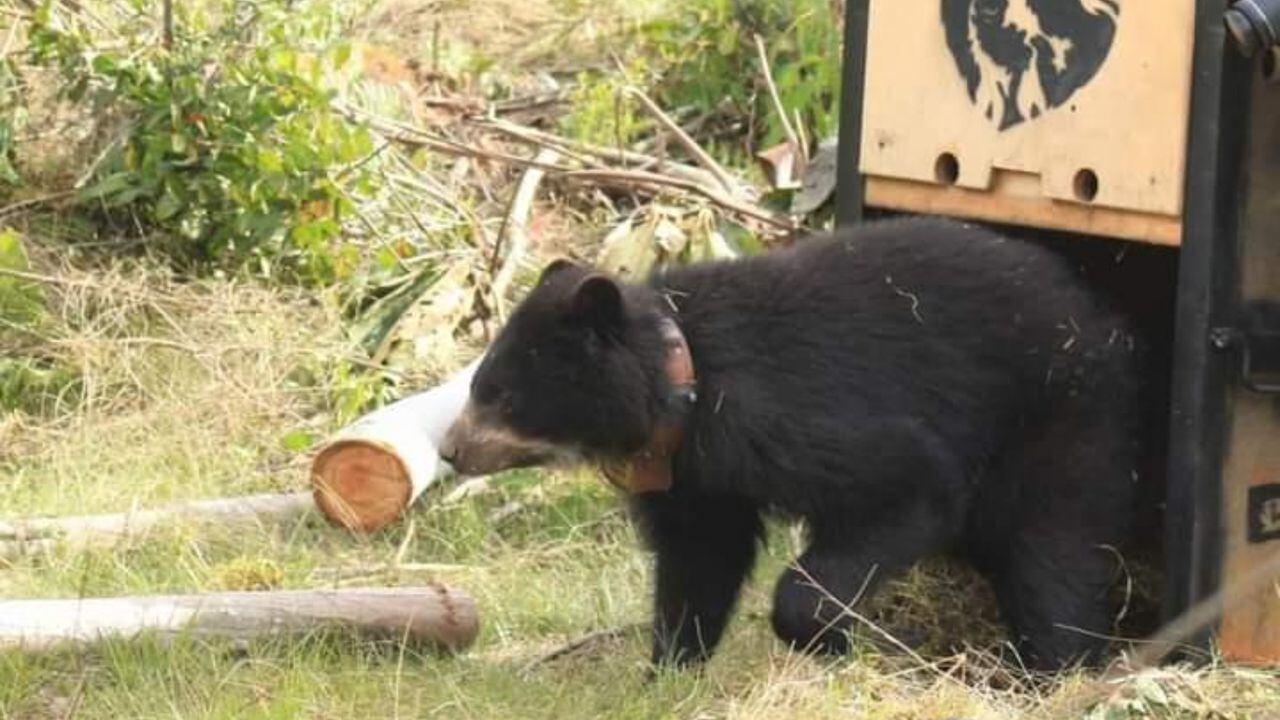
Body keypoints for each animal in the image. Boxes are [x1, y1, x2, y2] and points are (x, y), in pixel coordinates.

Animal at [440, 215, 1141, 671]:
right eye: (479, 385)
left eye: (502, 395)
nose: (450, 451)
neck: (683, 385)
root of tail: (1107, 323)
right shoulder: (696, 475)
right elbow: (701, 556)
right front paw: (669, 669)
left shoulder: (780, 420)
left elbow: (906, 484)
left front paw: (825, 636)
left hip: (1057, 415)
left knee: (1052, 548)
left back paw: (1051, 666)